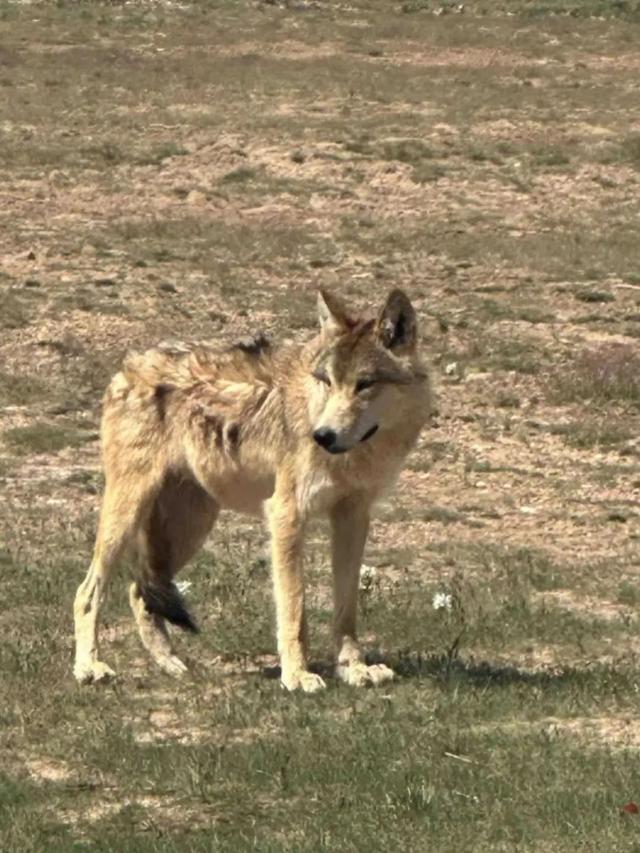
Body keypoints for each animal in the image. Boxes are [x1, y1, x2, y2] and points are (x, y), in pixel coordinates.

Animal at [75, 290, 432, 688]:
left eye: (364, 384)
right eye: (327, 380)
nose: (322, 436)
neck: (357, 455)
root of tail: (128, 364)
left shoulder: (353, 516)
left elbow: (346, 608)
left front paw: (353, 668)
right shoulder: (286, 515)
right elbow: (294, 608)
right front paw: (298, 675)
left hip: (190, 527)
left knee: (139, 591)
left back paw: (171, 665)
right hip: (128, 515)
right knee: (87, 591)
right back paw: (88, 667)